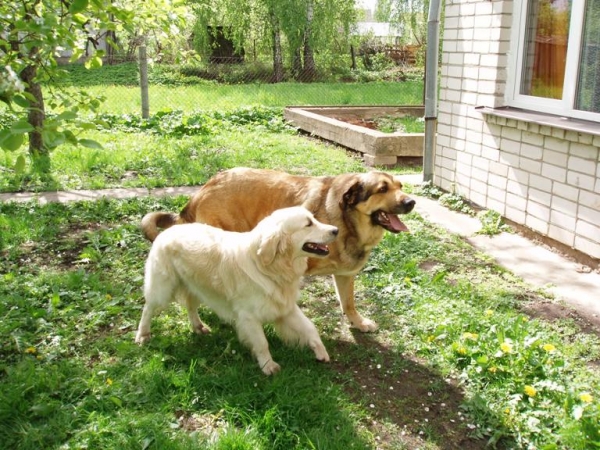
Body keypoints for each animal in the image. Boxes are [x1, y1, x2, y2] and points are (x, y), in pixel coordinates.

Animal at [138, 207, 340, 372]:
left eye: (313, 219)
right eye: (308, 224)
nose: (336, 230)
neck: (268, 268)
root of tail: (168, 230)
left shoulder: (285, 308)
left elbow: (310, 328)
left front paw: (321, 351)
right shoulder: (248, 317)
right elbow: (262, 343)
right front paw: (269, 366)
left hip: (196, 286)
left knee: (190, 306)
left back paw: (198, 327)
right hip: (163, 288)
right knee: (148, 308)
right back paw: (142, 335)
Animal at [141, 167, 414, 332]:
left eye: (400, 186)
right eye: (382, 189)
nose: (411, 202)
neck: (346, 220)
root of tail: (202, 190)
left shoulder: (345, 276)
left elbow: (348, 303)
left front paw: (358, 322)